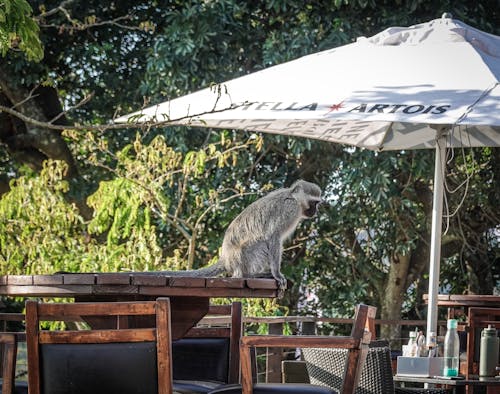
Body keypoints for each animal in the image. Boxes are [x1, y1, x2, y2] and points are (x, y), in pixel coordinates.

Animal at [160, 180, 324, 290]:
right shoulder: (290, 209)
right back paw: (250, 275)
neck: (293, 197)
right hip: (243, 256)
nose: (316, 211)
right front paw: (277, 274)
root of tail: (226, 259)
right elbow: (273, 236)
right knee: (261, 244)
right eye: (314, 203)